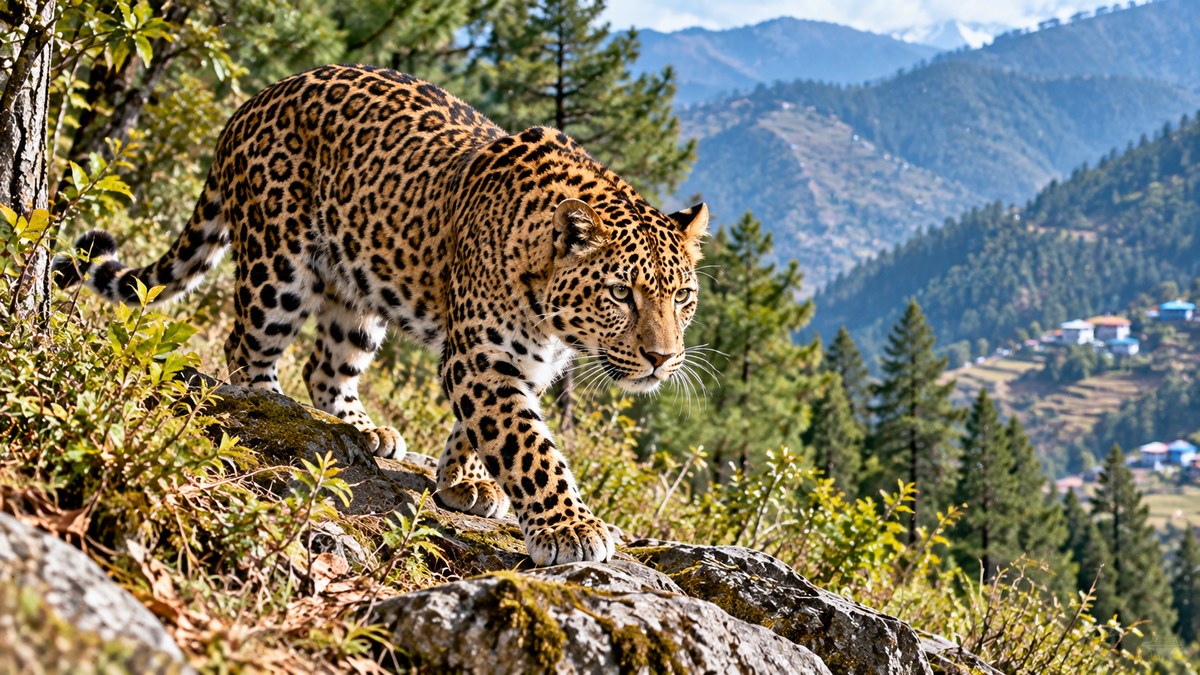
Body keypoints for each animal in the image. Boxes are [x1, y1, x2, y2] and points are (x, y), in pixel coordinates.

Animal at [53, 63, 709, 566]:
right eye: (621, 293)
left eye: (681, 297)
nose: (663, 358)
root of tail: (251, 102)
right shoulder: (483, 358)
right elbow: (528, 446)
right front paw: (571, 527)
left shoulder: (519, 363)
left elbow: (482, 431)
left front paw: (463, 482)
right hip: (277, 267)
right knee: (247, 345)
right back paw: (272, 406)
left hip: (356, 294)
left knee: (325, 366)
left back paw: (363, 429)